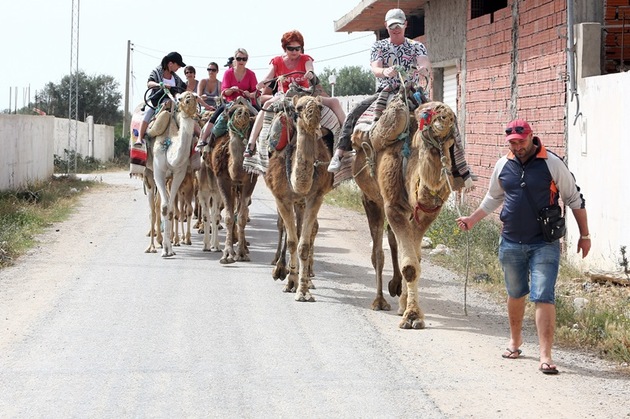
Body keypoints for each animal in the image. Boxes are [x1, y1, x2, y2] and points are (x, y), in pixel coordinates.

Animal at [148, 90, 198, 258]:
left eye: (195, 96)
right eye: (180, 98)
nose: (189, 100)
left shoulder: (179, 174)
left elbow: (169, 209)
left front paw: (169, 248)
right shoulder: (158, 171)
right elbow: (164, 207)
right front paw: (164, 250)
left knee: (159, 204)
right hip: (149, 175)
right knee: (153, 207)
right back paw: (152, 246)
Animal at [207, 102, 256, 264]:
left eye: (248, 112)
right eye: (231, 112)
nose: (242, 112)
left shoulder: (249, 181)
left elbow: (242, 217)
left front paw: (241, 253)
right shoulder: (222, 179)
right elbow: (228, 217)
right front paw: (227, 254)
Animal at [266, 94, 338, 302]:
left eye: (320, 107)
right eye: (298, 108)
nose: (312, 115)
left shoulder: (316, 197)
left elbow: (303, 243)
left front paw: (303, 290)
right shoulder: (282, 198)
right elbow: (291, 241)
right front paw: (290, 282)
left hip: (302, 202)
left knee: (306, 230)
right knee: (284, 228)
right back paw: (279, 268)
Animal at [354, 97, 462, 330]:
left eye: (451, 141)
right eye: (430, 114)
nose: (445, 115)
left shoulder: (426, 213)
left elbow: (415, 259)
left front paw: (408, 309)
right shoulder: (393, 206)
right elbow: (410, 266)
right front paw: (411, 316)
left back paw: (397, 294)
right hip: (371, 199)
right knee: (378, 252)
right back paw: (379, 301)